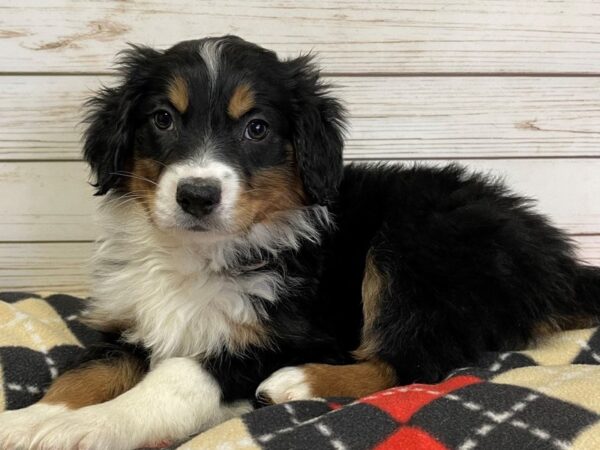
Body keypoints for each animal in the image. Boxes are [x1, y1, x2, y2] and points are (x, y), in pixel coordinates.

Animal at [1, 36, 600, 450]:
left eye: (257, 129)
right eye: (163, 119)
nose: (197, 195)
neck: (199, 252)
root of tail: (554, 256)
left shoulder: (297, 334)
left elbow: (178, 376)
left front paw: (92, 427)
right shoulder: (130, 323)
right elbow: (90, 370)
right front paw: (36, 419)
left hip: (413, 252)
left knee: (412, 363)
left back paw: (295, 384)